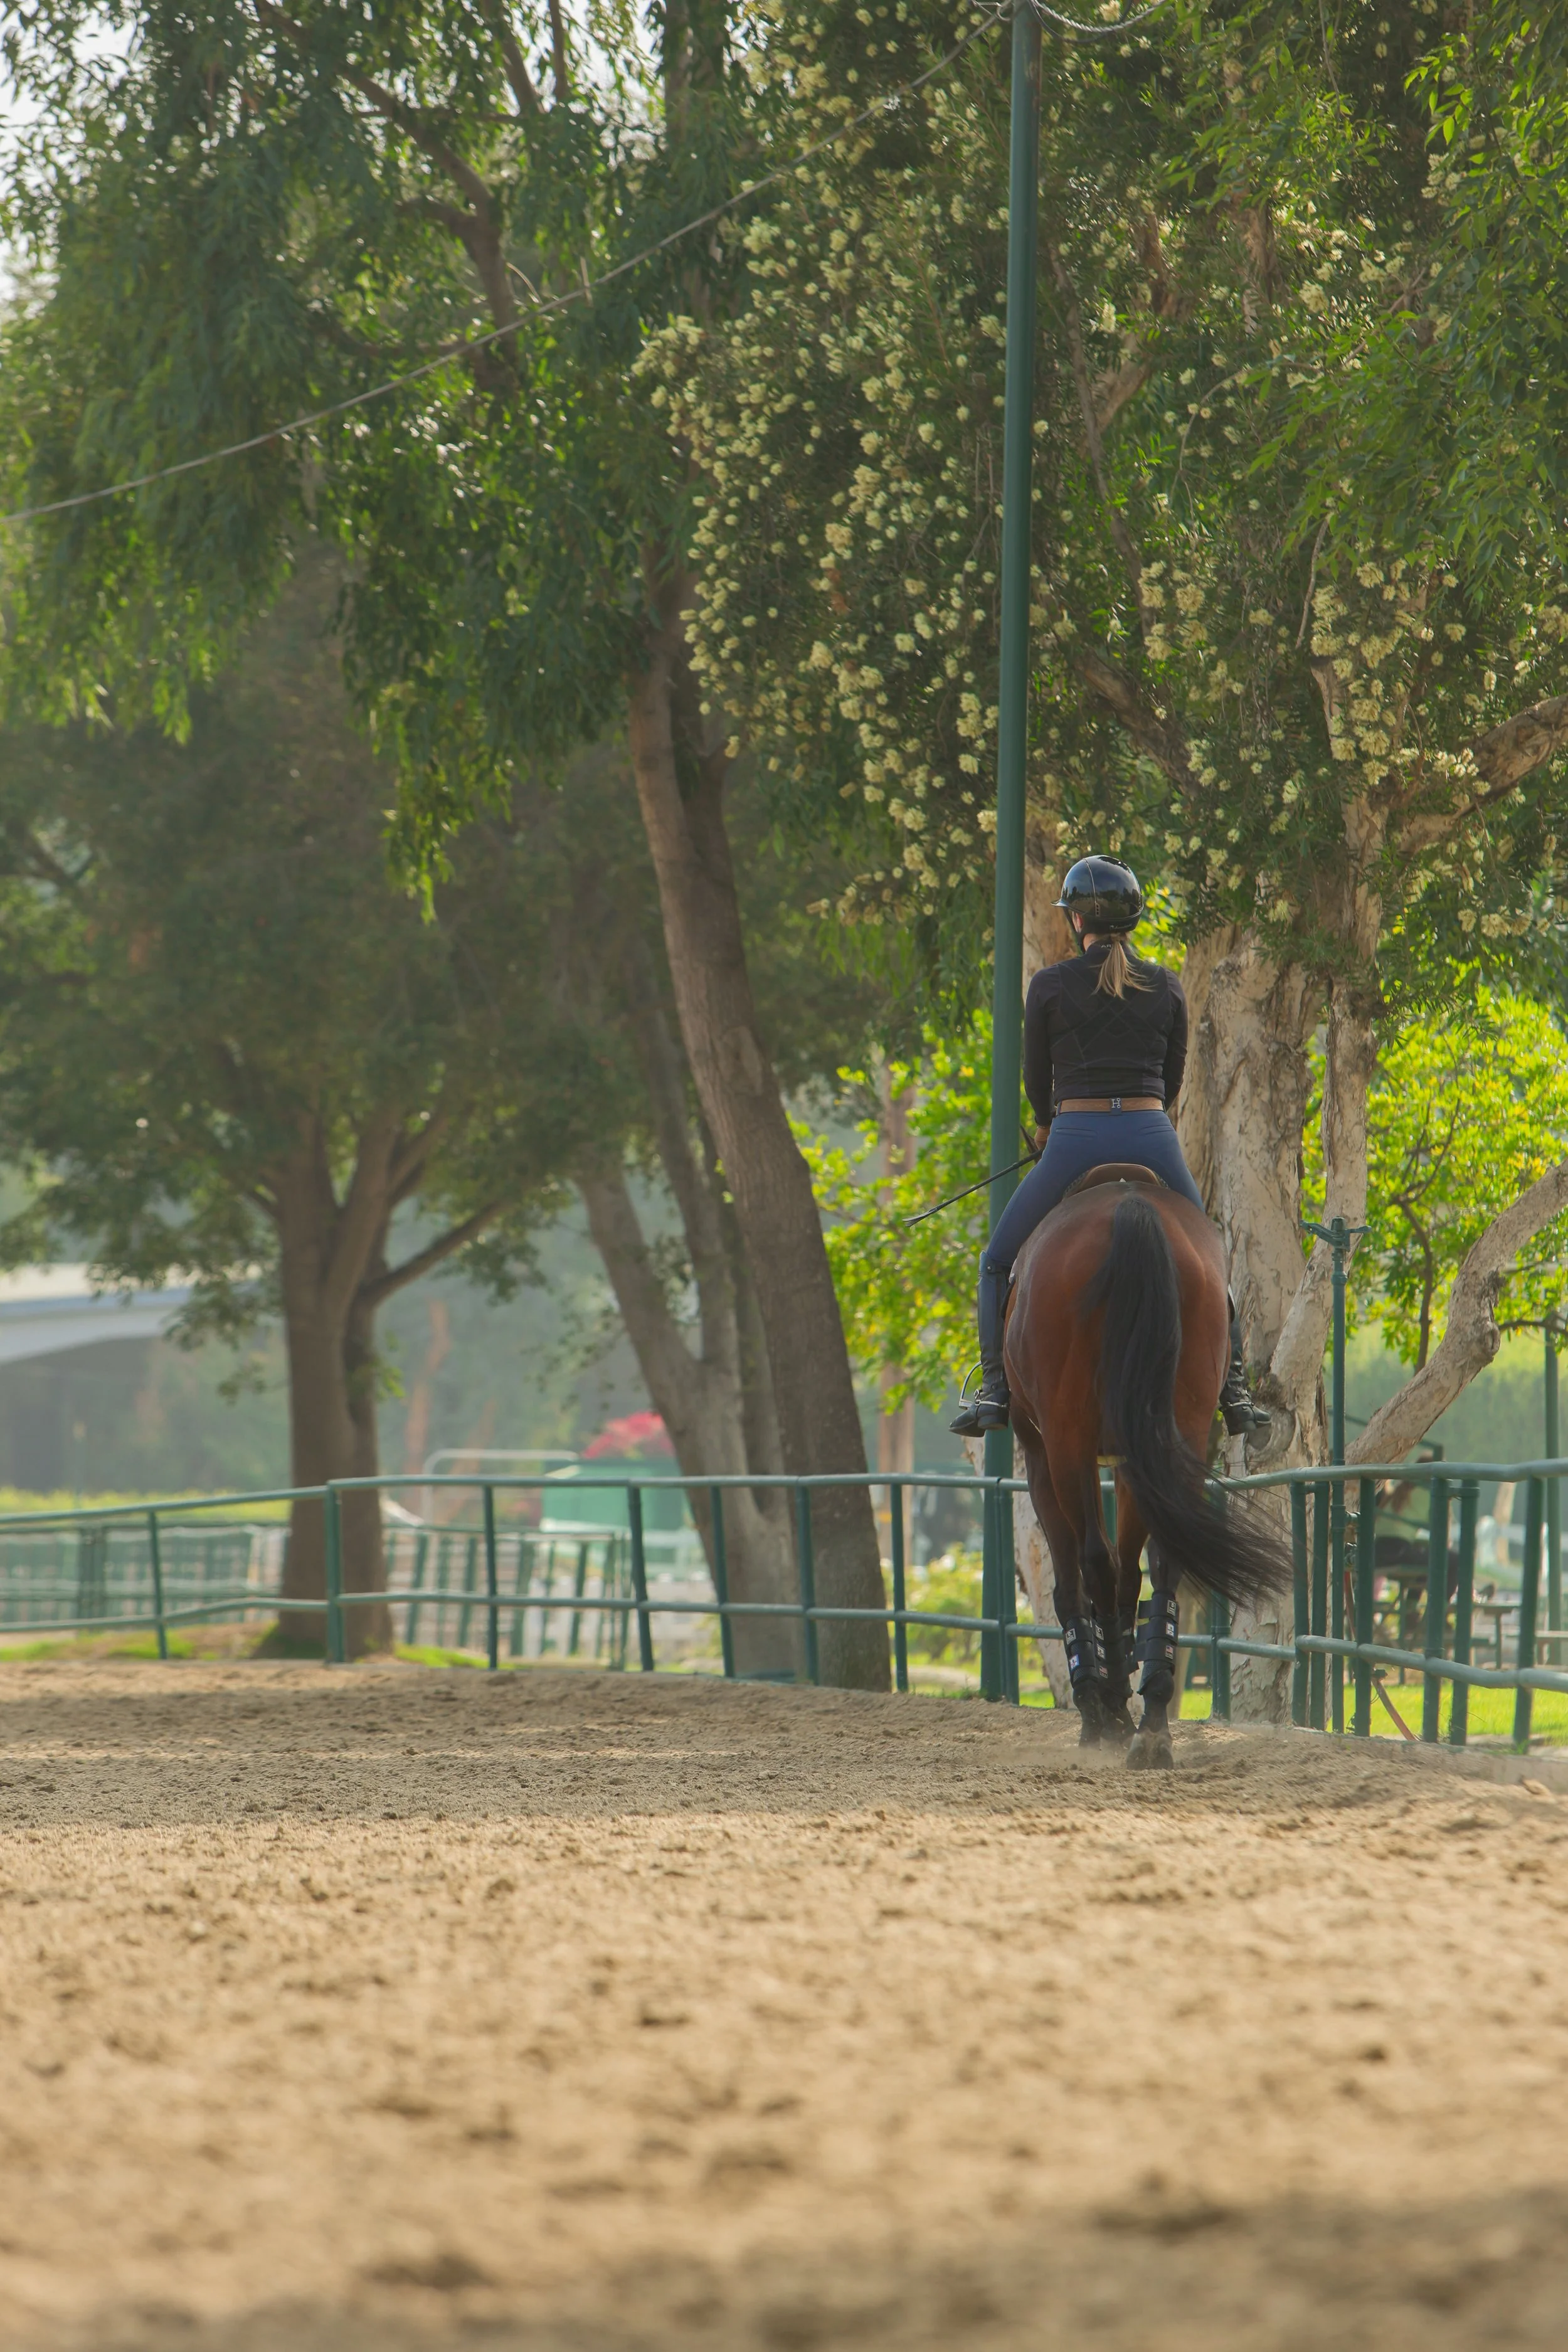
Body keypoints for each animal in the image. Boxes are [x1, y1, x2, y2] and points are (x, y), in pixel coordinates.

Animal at [1005, 1167, 1293, 1770]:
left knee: (1093, 1562)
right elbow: (1131, 1573)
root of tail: (1129, 1207)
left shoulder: (1040, 1452)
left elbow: (1077, 1581)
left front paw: (1098, 1704)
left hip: (1068, 1441)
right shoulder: (1133, 1458)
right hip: (1176, 1429)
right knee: (1164, 1560)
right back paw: (1154, 1722)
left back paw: (1111, 1712)